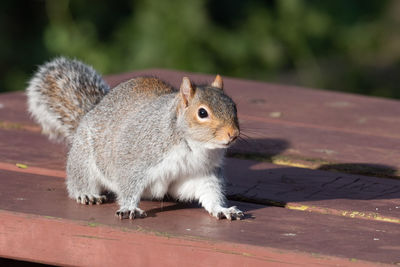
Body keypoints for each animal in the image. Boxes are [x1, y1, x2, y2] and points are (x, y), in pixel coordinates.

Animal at [26, 57, 244, 221]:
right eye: (202, 113)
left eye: (234, 106)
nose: (233, 133)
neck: (194, 146)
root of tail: (91, 112)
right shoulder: (136, 158)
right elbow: (128, 184)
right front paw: (129, 207)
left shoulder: (201, 172)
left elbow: (208, 191)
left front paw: (221, 209)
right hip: (84, 157)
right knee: (79, 178)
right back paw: (86, 193)